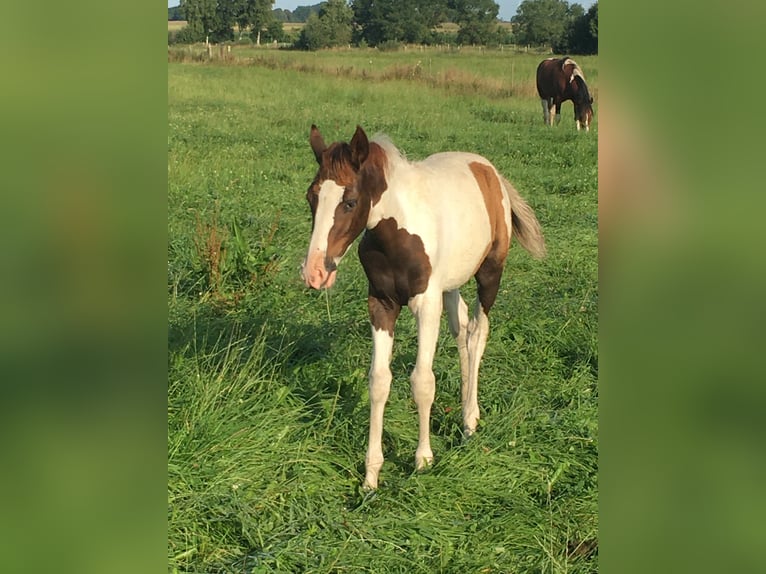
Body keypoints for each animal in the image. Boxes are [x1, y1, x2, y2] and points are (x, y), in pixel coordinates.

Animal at [300, 126, 544, 490]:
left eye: (350, 202)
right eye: (311, 197)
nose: (315, 272)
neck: (397, 231)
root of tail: (490, 170)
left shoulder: (426, 305)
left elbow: (422, 381)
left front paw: (423, 460)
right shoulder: (381, 304)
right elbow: (379, 381)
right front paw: (371, 476)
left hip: (490, 274)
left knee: (477, 334)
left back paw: (470, 421)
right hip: (451, 284)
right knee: (461, 329)